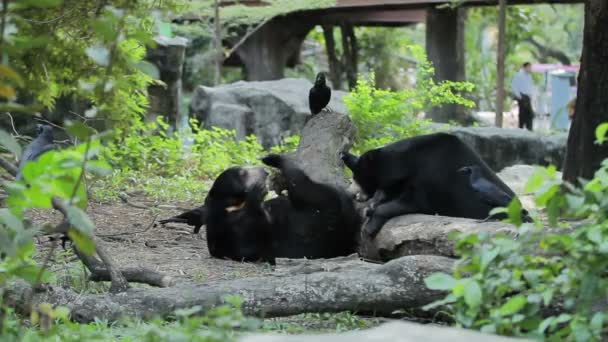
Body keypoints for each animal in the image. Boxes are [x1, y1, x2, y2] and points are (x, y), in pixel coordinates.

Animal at [160, 154, 360, 264]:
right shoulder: (235, 233)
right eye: (242, 173)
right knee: (306, 185)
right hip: (327, 208)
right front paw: (258, 189)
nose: (264, 172)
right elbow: (246, 245)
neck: (233, 208)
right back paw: (277, 160)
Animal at [340, 132, 524, 236]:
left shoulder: (429, 178)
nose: (351, 193)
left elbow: (413, 202)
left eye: (357, 176)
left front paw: (369, 227)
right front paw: (370, 208)